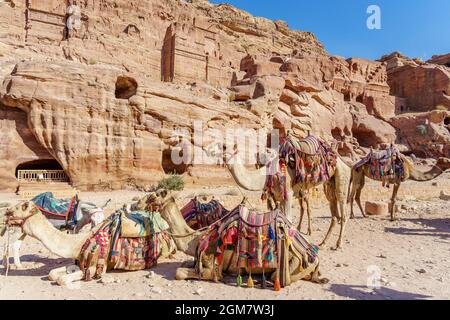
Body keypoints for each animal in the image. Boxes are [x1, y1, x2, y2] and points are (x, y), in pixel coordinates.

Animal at [3, 201, 176, 286]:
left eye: (16, 209)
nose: (5, 213)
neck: (79, 243)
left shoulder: (96, 267)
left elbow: (62, 280)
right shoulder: (78, 260)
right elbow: (52, 273)